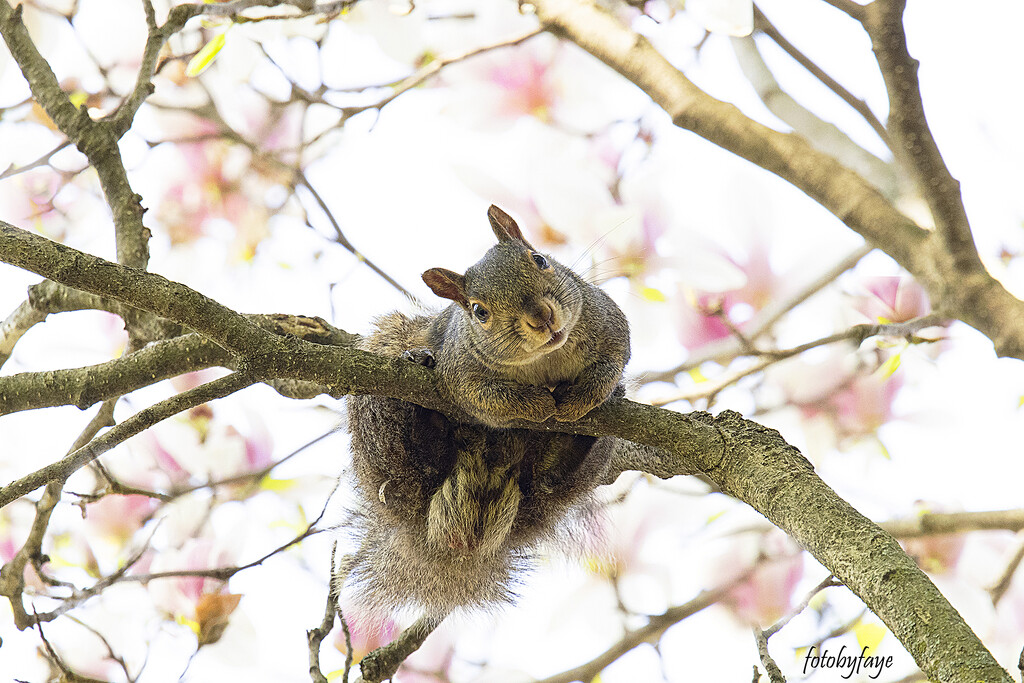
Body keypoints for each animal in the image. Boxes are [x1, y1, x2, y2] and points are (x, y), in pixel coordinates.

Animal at [342, 205, 630, 622]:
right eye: (479, 312)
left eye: (540, 260)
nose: (542, 316)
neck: (544, 361)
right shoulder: (461, 372)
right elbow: (488, 400)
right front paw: (539, 404)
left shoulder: (606, 318)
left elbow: (614, 360)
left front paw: (582, 398)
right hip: (379, 426)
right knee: (414, 466)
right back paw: (422, 410)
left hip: (563, 478)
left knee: (551, 480)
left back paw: (576, 440)